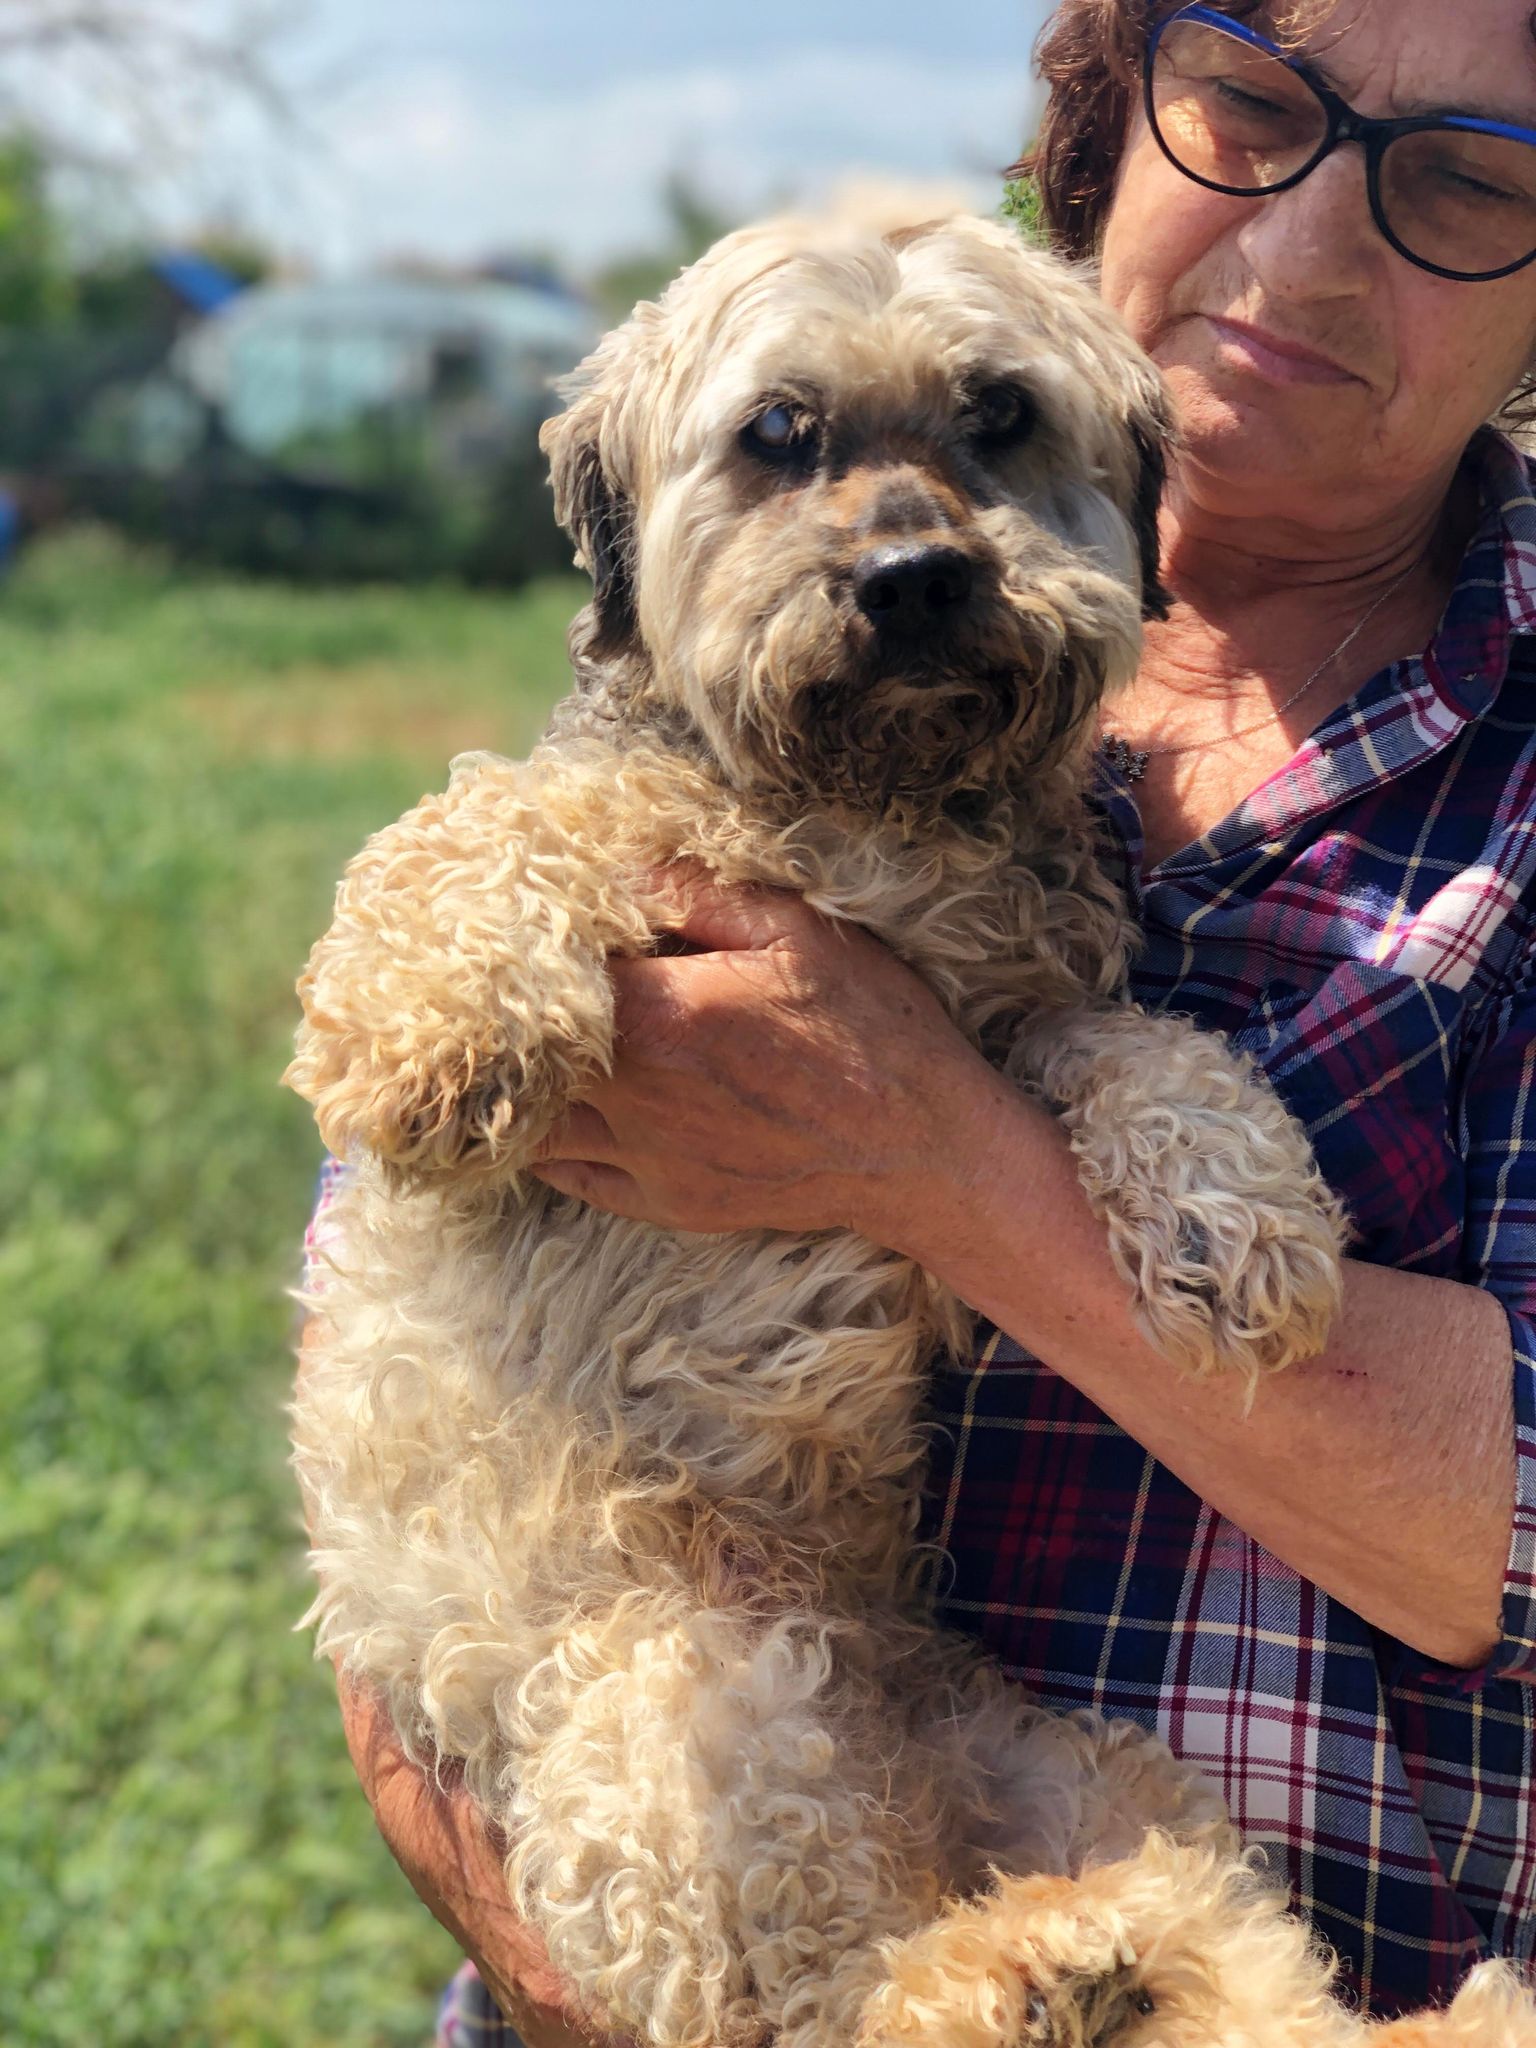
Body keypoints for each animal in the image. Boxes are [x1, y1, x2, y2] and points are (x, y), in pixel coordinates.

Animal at [288, 211, 1536, 2048]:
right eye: (778, 433)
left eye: (999, 413)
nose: (914, 580)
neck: (873, 807)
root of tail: (905, 1784)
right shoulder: (630, 839)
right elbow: (489, 820)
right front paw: (441, 1019)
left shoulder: (1005, 1020)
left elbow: (1140, 1042)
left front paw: (1233, 1211)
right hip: (681, 1684)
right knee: (823, 1999)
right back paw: (1028, 1964)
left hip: (1091, 1780)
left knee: (1216, 1980)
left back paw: (1105, 1960)